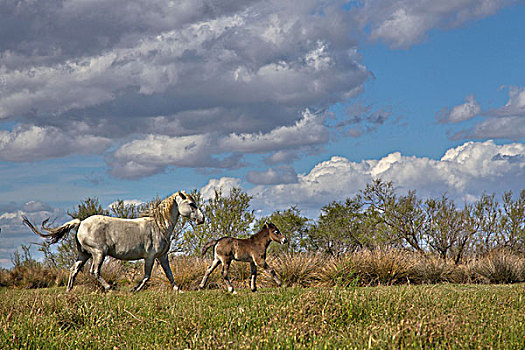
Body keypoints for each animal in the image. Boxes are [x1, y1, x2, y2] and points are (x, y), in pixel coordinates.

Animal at [25, 190, 205, 292]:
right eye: (191, 204)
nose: (202, 219)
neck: (159, 226)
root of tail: (81, 223)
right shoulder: (150, 257)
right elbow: (147, 276)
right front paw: (134, 290)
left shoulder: (162, 256)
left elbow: (169, 273)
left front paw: (178, 289)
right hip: (98, 253)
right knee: (94, 271)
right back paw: (109, 288)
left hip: (83, 254)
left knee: (73, 270)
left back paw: (69, 291)